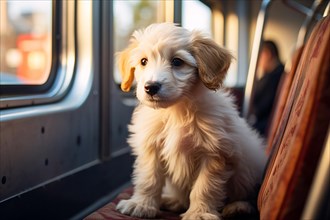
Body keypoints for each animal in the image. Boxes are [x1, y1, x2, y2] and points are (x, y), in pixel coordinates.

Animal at [114, 23, 266, 219]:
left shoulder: (215, 153)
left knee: (249, 196)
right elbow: (149, 179)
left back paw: (238, 207)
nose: (151, 87)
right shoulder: (152, 148)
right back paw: (173, 201)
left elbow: (204, 187)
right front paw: (141, 204)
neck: (175, 112)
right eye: (143, 61)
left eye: (177, 62)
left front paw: (199, 213)